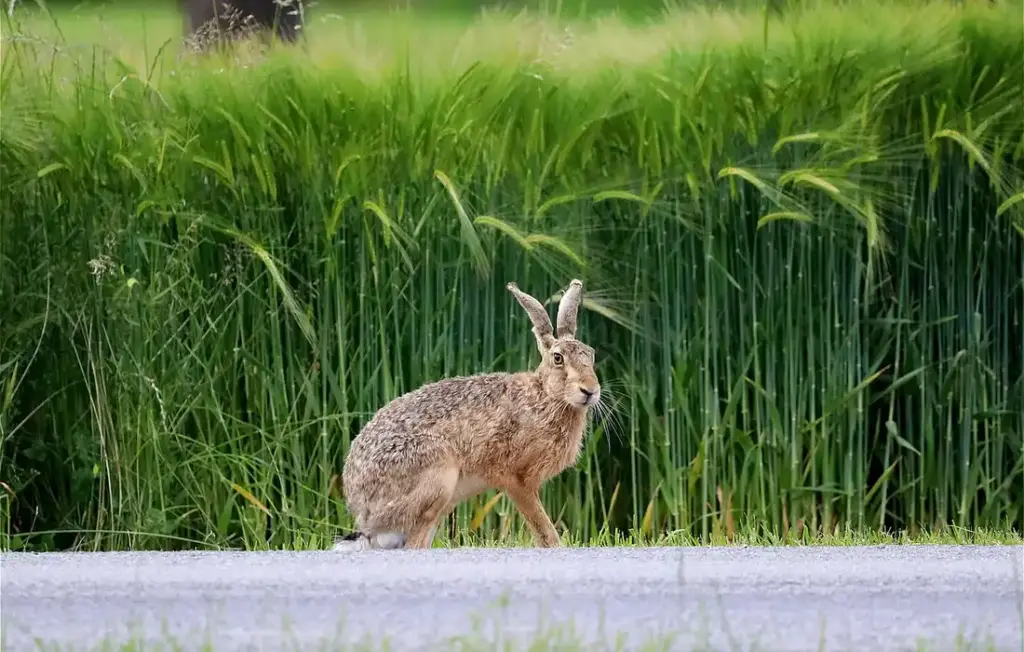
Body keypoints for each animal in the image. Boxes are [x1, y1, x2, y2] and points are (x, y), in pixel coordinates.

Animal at [333, 278, 601, 551]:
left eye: (591, 355)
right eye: (558, 358)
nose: (590, 391)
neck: (546, 395)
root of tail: (364, 513)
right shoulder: (517, 479)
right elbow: (542, 528)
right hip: (438, 478)